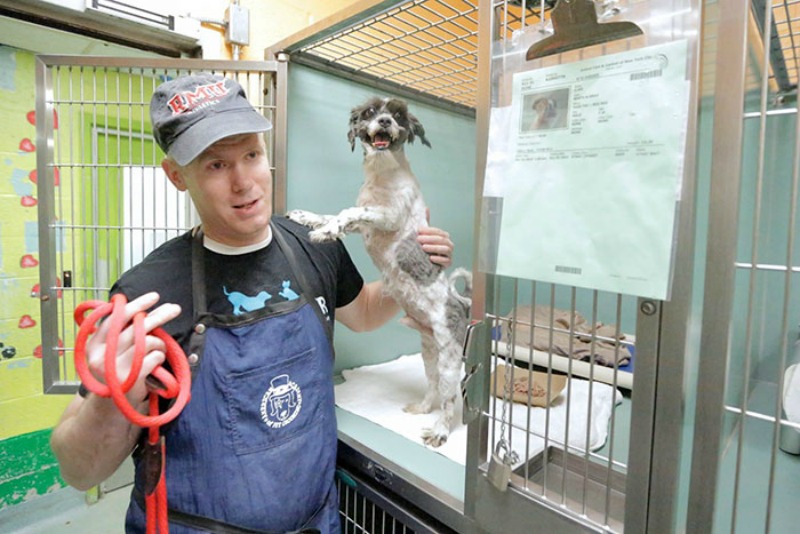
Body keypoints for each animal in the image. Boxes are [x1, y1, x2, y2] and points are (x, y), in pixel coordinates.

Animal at [290, 96, 472, 448]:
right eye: (371, 112)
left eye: (399, 115)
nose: (386, 121)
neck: (382, 173)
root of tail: (459, 303)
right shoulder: (366, 225)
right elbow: (337, 214)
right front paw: (308, 218)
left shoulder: (387, 216)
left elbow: (348, 211)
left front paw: (325, 231)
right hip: (429, 351)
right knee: (432, 388)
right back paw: (421, 408)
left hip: (449, 358)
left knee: (448, 399)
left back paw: (440, 430)